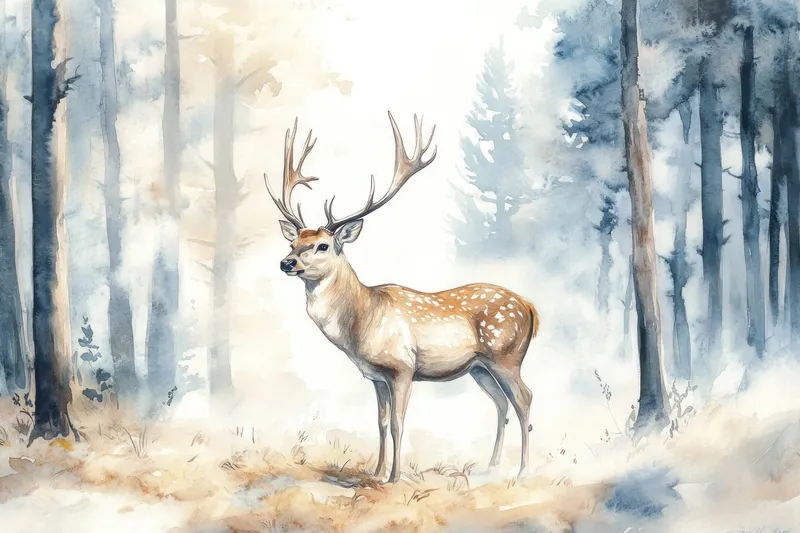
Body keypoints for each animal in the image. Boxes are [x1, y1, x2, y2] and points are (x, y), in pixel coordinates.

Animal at [265, 111, 540, 483]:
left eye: (322, 245)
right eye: (293, 243)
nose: (286, 262)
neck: (362, 320)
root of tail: (531, 308)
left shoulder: (402, 367)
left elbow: (397, 423)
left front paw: (395, 478)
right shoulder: (376, 377)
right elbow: (380, 423)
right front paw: (376, 472)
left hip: (506, 355)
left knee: (524, 399)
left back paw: (524, 471)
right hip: (479, 366)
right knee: (500, 403)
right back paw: (492, 466)